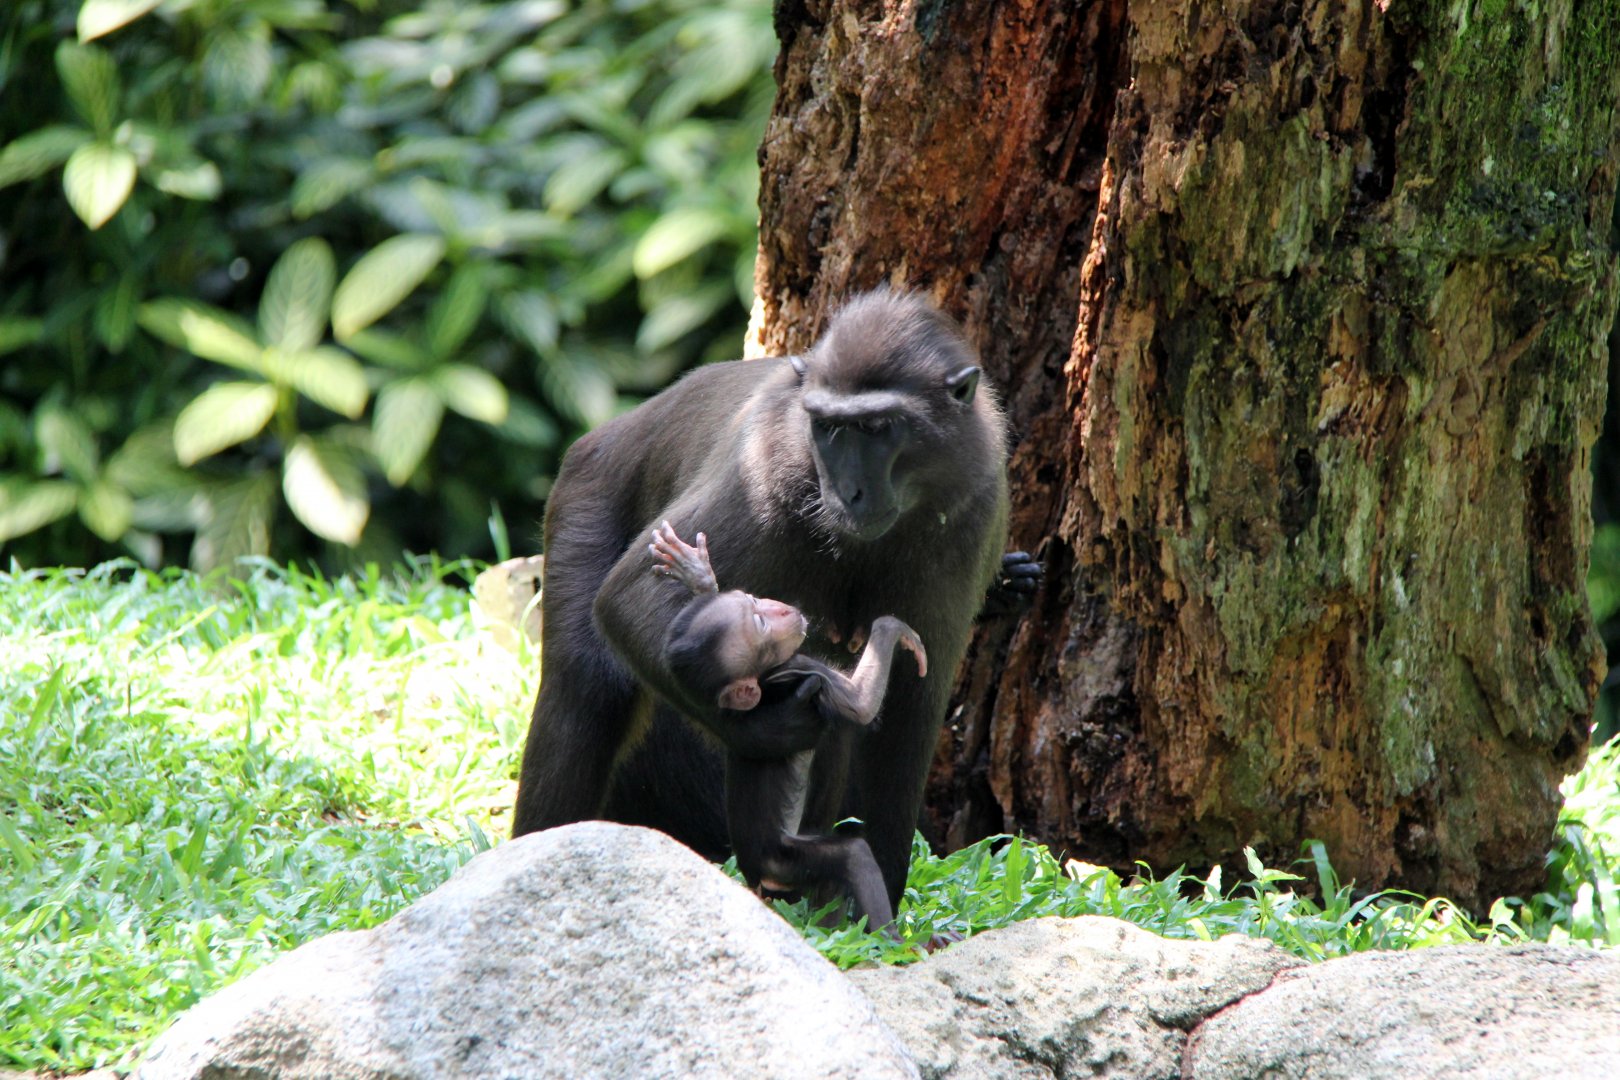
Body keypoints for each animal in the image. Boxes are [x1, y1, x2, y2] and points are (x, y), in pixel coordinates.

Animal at [647, 522, 925, 926]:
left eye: (752, 600)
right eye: (760, 622)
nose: (778, 607)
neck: (765, 681)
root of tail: (756, 878)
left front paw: (699, 576)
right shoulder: (800, 666)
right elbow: (858, 706)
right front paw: (892, 628)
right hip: (784, 863)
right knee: (852, 853)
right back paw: (888, 938)